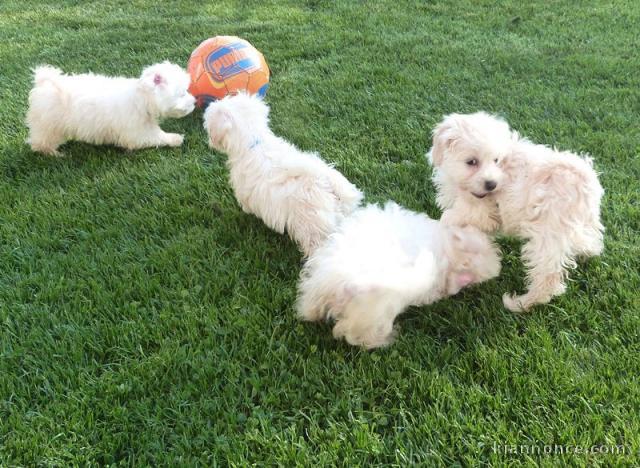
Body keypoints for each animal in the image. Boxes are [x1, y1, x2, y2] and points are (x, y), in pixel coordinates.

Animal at [25, 60, 195, 154]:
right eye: (182, 94)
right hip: (48, 126)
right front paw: (175, 139)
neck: (140, 99)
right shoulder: (137, 132)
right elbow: (157, 137)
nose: (194, 102)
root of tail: (44, 83)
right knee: (40, 143)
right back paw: (54, 154)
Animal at [428, 112, 604, 312]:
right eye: (471, 162)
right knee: (590, 242)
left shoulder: (482, 212)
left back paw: (521, 303)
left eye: (496, 160)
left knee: (547, 277)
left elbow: (449, 218)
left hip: (548, 233)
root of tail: (585, 179)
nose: (491, 184)